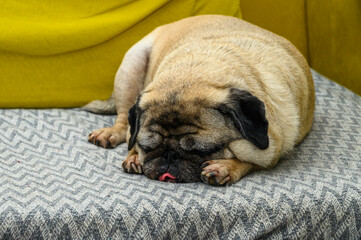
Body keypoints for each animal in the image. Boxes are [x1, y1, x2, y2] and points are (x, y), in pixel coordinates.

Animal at [83, 15, 314, 187]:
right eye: (148, 146)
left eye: (202, 151)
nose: (170, 157)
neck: (194, 73)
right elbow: (132, 137)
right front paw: (133, 156)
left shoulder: (275, 146)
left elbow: (253, 160)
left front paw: (225, 167)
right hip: (131, 66)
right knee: (124, 121)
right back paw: (110, 133)